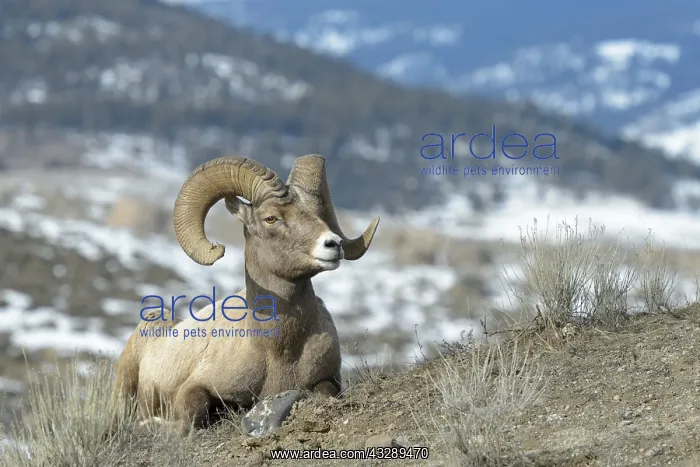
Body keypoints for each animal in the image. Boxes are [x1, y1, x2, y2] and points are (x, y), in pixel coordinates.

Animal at [113, 154, 379, 432]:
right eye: (271, 218)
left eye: (319, 214)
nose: (333, 244)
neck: (278, 349)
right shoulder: (194, 387)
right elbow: (193, 416)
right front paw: (149, 423)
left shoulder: (328, 379)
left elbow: (326, 392)